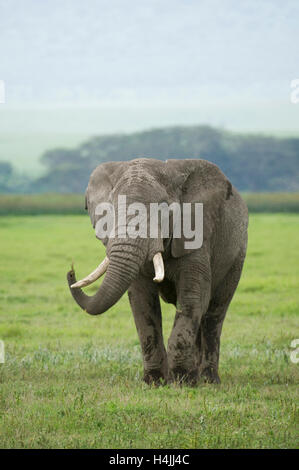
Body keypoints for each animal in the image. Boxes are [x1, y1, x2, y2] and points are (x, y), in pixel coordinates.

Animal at [67, 159, 248, 386]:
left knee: (214, 313)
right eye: (109, 209)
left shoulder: (197, 237)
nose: (71, 271)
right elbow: (142, 301)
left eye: (162, 208)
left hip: (237, 255)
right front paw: (154, 381)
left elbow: (193, 297)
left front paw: (181, 382)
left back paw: (208, 380)